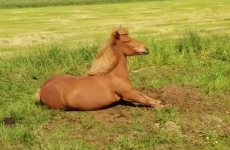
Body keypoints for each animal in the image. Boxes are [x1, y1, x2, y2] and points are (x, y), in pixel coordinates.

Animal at [35, 27, 165, 110]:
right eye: (127, 41)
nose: (146, 49)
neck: (112, 74)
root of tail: (42, 89)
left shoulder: (131, 92)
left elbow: (144, 96)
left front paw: (158, 101)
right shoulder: (128, 93)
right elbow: (145, 100)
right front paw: (162, 106)